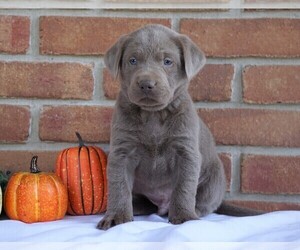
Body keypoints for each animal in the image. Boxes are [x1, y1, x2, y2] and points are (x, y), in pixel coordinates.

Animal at [97, 24, 236, 229]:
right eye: (132, 60)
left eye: (168, 61)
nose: (146, 84)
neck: (153, 115)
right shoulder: (121, 151)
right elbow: (118, 185)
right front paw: (116, 216)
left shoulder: (186, 151)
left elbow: (184, 187)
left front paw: (185, 217)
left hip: (214, 179)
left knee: (206, 202)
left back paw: (194, 212)